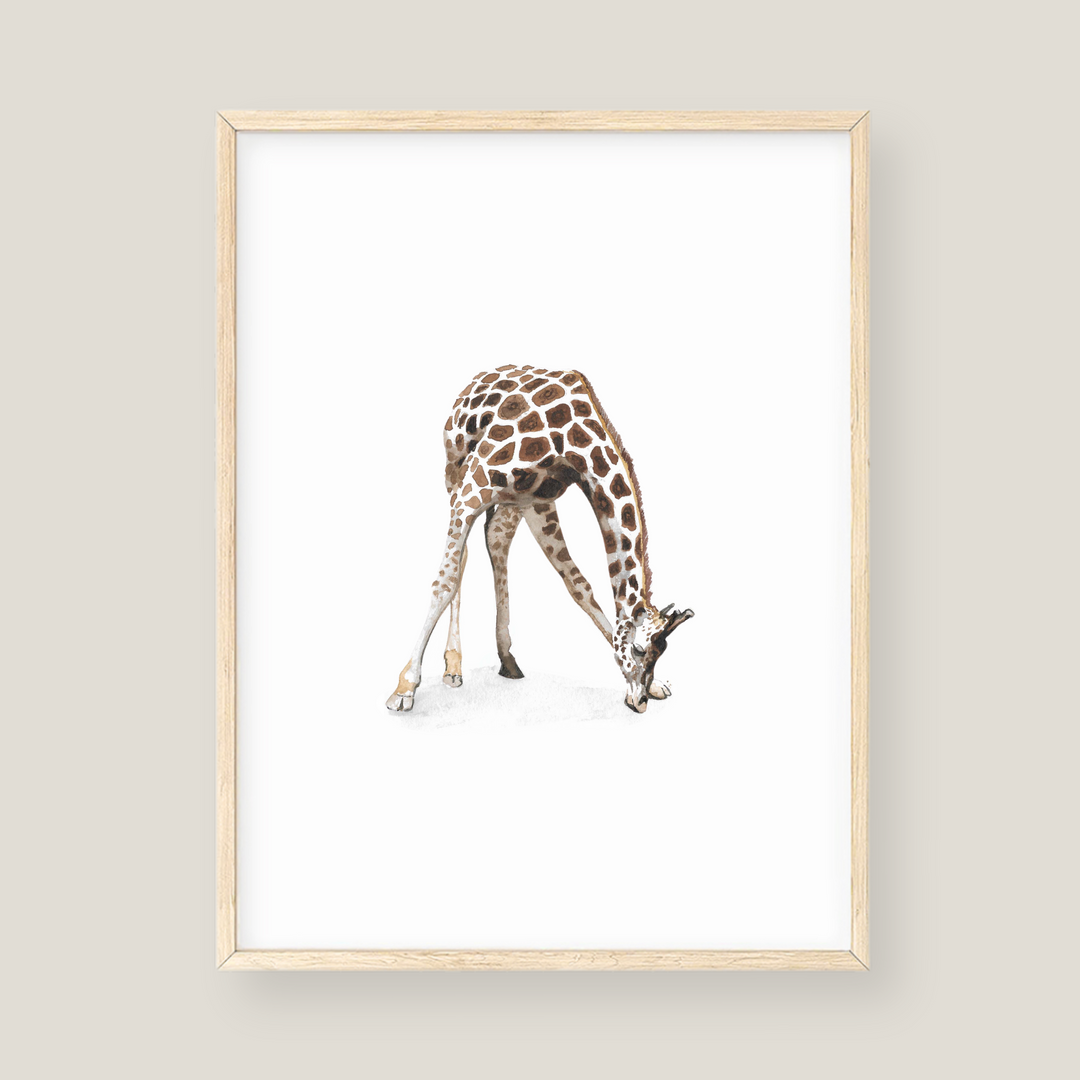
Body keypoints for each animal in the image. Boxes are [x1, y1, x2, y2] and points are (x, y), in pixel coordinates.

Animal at [386, 365, 694, 714]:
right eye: (640, 649)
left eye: (660, 652)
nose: (639, 702)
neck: (575, 442)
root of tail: (480, 377)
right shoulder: (475, 484)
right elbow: (445, 582)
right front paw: (405, 688)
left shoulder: (538, 500)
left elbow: (578, 584)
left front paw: (657, 685)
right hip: (455, 470)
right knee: (463, 556)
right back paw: (453, 668)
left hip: (512, 499)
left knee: (495, 539)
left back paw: (505, 658)